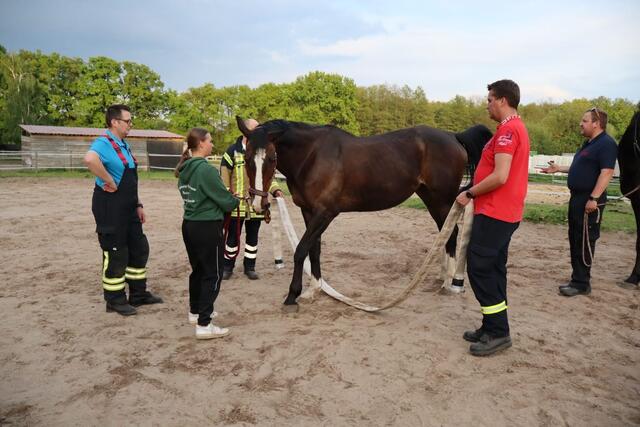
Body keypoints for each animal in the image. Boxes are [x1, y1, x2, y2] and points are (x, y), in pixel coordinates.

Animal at [236, 116, 492, 311]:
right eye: (246, 159)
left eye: (271, 158)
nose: (258, 203)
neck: (312, 156)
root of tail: (453, 136)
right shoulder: (309, 212)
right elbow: (314, 250)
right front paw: (314, 290)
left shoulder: (325, 213)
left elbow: (301, 250)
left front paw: (292, 296)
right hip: (432, 199)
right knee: (446, 233)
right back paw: (441, 276)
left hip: (442, 200)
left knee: (452, 233)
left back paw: (449, 283)